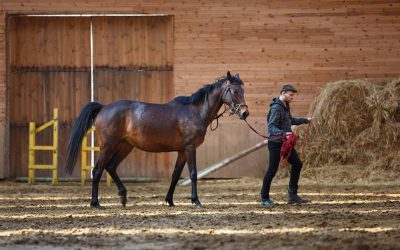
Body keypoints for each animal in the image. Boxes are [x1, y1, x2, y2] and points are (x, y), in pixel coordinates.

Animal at [64, 72, 248, 209]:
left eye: (243, 91)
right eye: (234, 91)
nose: (245, 113)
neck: (195, 111)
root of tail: (103, 108)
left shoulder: (182, 151)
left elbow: (175, 175)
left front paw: (170, 200)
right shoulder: (190, 148)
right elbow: (193, 174)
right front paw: (196, 200)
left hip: (125, 146)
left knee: (111, 167)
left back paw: (123, 196)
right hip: (108, 146)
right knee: (97, 170)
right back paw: (95, 203)